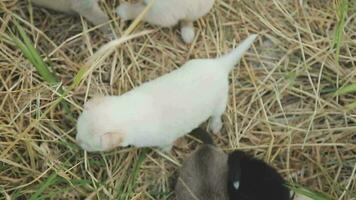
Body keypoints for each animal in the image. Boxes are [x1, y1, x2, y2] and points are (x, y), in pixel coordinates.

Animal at [76, 34, 258, 152]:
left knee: (217, 114)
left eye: (87, 144)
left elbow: (166, 146)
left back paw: (215, 125)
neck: (128, 112)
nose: (76, 141)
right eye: (77, 128)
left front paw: (162, 152)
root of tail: (219, 65)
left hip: (220, 101)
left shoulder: (164, 138)